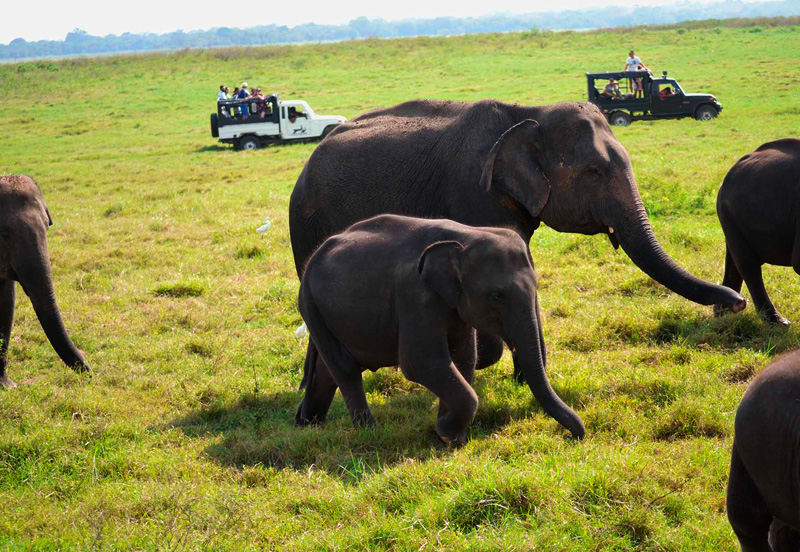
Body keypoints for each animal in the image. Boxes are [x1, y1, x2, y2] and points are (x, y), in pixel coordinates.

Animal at [289, 99, 746, 381]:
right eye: (594, 172)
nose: (737, 302)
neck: (529, 112)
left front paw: (527, 377)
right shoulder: (474, 193)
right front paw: (485, 360)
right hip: (306, 226)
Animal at [295, 215, 585, 443]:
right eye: (497, 296)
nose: (571, 436)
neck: (466, 236)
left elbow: (464, 358)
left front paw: (451, 433)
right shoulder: (414, 295)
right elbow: (422, 363)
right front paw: (447, 434)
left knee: (328, 371)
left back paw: (307, 425)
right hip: (310, 306)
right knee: (344, 368)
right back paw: (370, 432)